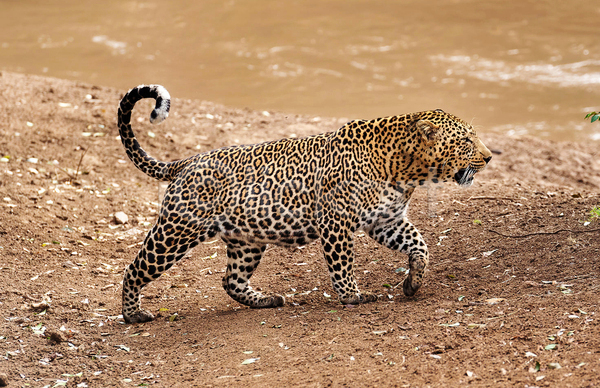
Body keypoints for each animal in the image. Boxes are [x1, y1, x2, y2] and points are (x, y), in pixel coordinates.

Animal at [117, 85, 492, 324]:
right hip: (176, 231)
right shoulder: (337, 223)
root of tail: (185, 162)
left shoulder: (385, 220)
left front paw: (413, 283)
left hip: (247, 240)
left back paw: (265, 300)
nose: (489, 156)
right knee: (134, 268)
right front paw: (352, 296)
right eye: (466, 139)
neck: (407, 168)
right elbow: (343, 264)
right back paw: (133, 314)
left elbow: (420, 245)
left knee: (230, 280)